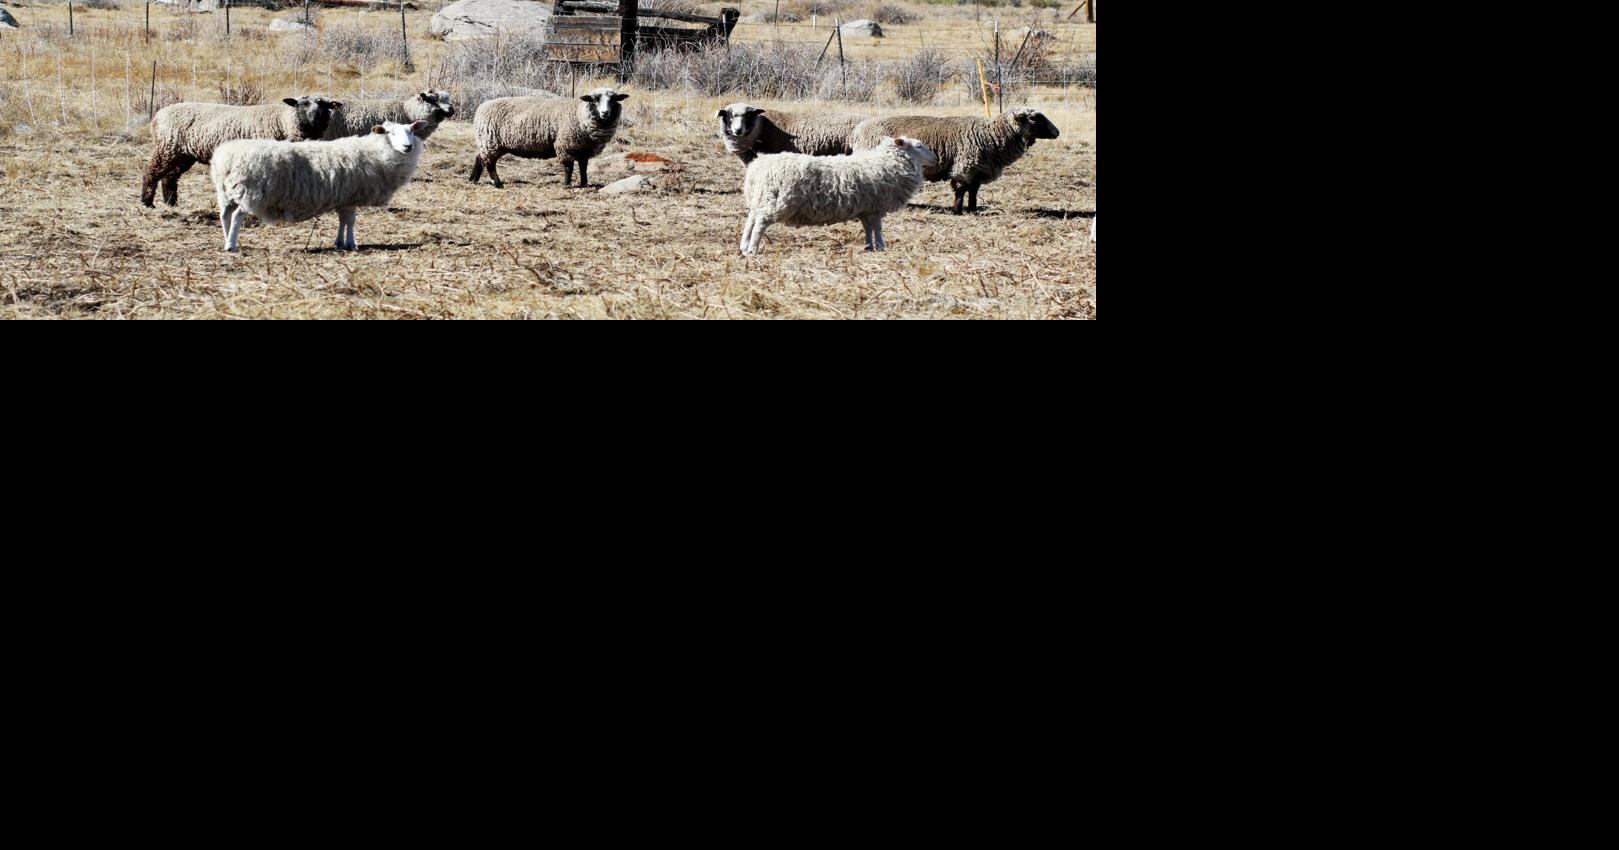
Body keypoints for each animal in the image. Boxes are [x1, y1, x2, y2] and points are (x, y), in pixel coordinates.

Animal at [141, 95, 341, 208]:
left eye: (326, 106)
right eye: (303, 104)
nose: (317, 119)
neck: (284, 121)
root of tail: (157, 116)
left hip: (183, 154)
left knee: (170, 177)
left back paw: (171, 203)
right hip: (168, 148)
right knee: (152, 172)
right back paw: (147, 202)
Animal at [210, 120, 427, 253]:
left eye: (411, 131)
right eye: (390, 132)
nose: (408, 147)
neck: (376, 152)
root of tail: (226, 157)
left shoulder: (344, 198)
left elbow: (343, 221)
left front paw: (340, 242)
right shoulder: (351, 196)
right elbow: (350, 221)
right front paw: (351, 243)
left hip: (226, 192)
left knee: (225, 215)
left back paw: (226, 239)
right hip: (251, 192)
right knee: (237, 216)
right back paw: (231, 246)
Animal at [468, 87, 629, 189]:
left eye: (613, 100)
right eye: (595, 100)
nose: (605, 113)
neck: (579, 114)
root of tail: (481, 107)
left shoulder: (583, 149)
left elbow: (583, 167)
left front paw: (584, 184)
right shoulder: (565, 145)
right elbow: (569, 167)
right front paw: (566, 185)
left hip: (488, 143)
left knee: (479, 158)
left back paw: (473, 180)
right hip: (491, 141)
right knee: (489, 164)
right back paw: (498, 184)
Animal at [739, 136, 938, 256]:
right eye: (919, 146)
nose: (936, 158)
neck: (887, 163)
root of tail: (758, 166)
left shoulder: (866, 209)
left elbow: (868, 228)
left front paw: (869, 247)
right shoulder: (875, 207)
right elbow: (878, 228)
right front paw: (881, 247)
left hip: (760, 199)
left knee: (751, 221)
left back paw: (744, 246)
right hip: (775, 202)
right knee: (760, 224)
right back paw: (753, 249)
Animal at [850, 107, 1060, 215]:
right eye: (1034, 118)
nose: (1057, 132)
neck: (991, 135)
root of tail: (858, 130)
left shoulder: (977, 170)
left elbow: (974, 191)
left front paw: (973, 209)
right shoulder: (964, 167)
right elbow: (961, 190)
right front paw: (957, 210)